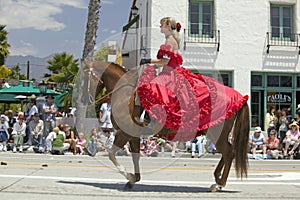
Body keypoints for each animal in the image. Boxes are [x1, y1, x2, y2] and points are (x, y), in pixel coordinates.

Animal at [79, 61, 251, 192]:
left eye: (85, 78)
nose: (83, 99)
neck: (124, 95)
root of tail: (239, 97)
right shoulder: (133, 135)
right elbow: (135, 156)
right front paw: (134, 179)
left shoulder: (124, 133)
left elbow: (111, 154)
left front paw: (128, 176)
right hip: (218, 134)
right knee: (229, 152)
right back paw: (217, 179)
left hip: (216, 133)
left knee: (228, 153)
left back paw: (219, 184)